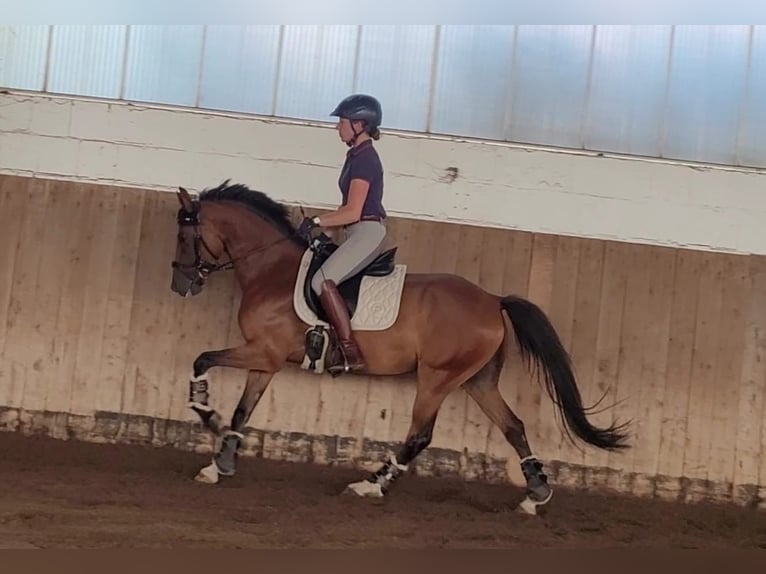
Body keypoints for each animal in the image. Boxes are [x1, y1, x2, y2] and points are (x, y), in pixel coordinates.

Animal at [170, 181, 632, 516]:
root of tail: (493, 300)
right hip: (478, 380)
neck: (271, 270)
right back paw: (535, 495)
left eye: (185, 236)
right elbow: (241, 411)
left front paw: (206, 413)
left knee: (420, 436)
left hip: (437, 377)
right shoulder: (266, 361)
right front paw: (219, 464)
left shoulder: (262, 352)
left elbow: (201, 359)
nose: (180, 284)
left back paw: (370, 485)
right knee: (514, 426)